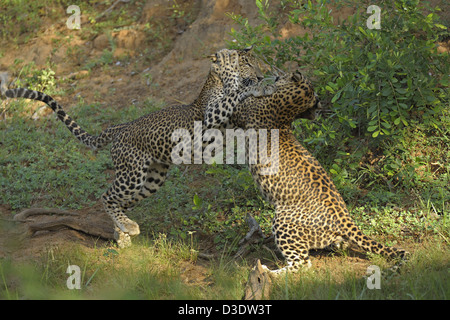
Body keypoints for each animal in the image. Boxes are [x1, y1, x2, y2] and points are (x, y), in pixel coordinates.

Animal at [0, 47, 268, 248]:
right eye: (245, 62)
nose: (260, 76)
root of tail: (119, 128)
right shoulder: (209, 117)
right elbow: (233, 93)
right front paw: (254, 86)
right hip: (132, 173)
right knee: (106, 196)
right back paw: (127, 228)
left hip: (151, 180)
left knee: (120, 202)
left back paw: (123, 233)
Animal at [206, 51, 410, 274]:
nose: (272, 75)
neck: (287, 108)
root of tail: (345, 220)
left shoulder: (236, 114)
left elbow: (231, 94)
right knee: (331, 248)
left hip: (283, 220)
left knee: (302, 265)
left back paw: (269, 272)